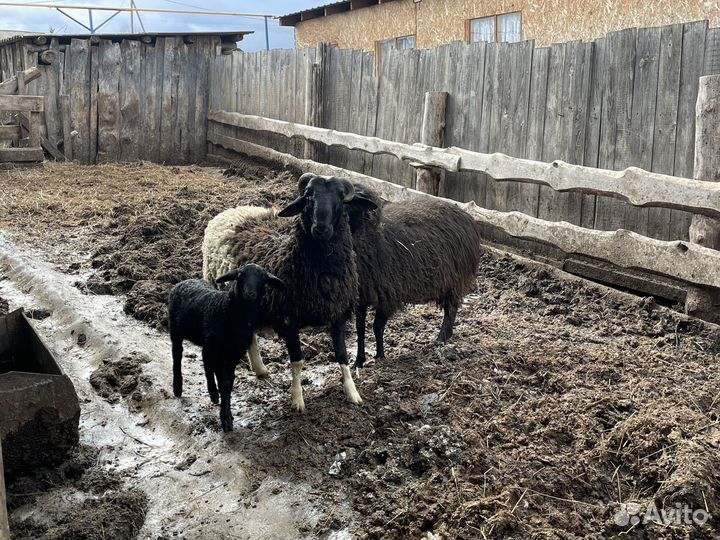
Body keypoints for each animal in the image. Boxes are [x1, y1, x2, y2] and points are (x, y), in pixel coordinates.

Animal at [168, 263, 285, 431]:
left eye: (263, 278)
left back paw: (213, 394)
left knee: (205, 360)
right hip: (176, 332)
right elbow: (224, 383)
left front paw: (227, 411)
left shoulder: (234, 353)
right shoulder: (219, 352)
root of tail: (184, 281)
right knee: (177, 356)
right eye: (240, 276)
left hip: (208, 343)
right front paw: (226, 419)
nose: (250, 294)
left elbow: (229, 383)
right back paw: (178, 388)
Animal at [202, 173, 378, 412]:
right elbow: (298, 361)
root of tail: (231, 210)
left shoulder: (338, 313)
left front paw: (353, 393)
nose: (320, 229)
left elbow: (342, 355)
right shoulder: (288, 320)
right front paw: (297, 400)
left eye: (341, 197)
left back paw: (259, 368)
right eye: (309, 196)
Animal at [346, 184, 483, 368]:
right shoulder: (362, 296)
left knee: (451, 310)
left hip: (454, 279)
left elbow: (377, 327)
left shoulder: (388, 296)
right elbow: (360, 329)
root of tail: (467, 217)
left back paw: (441, 339)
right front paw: (358, 361)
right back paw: (446, 336)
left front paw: (380, 356)